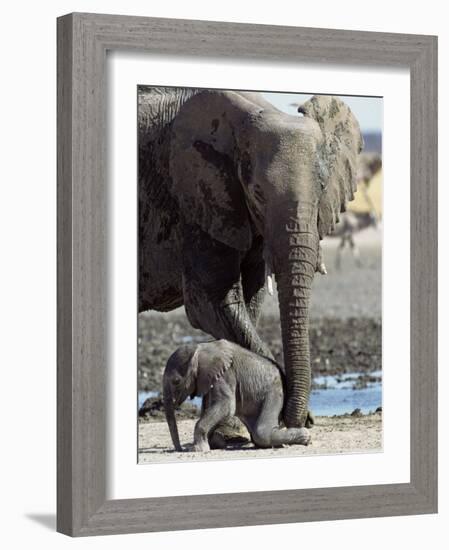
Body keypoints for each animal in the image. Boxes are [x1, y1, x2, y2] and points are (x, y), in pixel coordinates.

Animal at [138, 88, 362, 430]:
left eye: (322, 188)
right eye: (256, 192)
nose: (298, 421)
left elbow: (250, 302)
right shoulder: (196, 202)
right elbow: (212, 303)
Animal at [162, 340, 312, 452]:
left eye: (176, 381)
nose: (179, 449)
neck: (200, 348)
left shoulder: (225, 375)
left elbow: (227, 406)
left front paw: (198, 449)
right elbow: (210, 407)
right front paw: (213, 443)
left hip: (274, 392)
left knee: (261, 433)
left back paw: (305, 437)